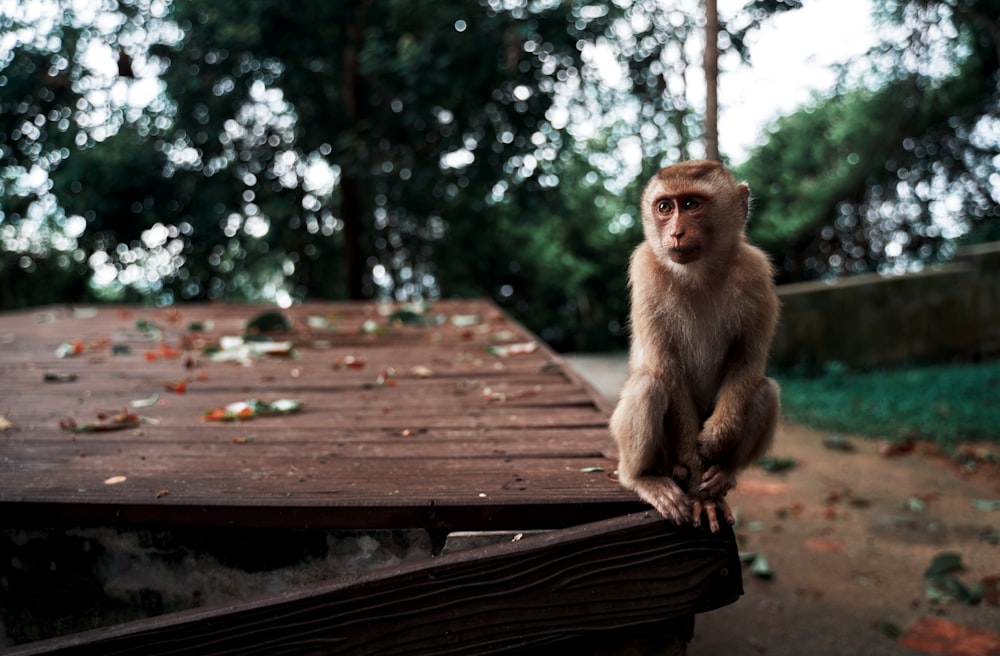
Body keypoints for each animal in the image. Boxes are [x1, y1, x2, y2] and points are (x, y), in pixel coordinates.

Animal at [608, 159, 780, 532]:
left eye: (690, 204)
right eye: (664, 207)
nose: (675, 233)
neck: (700, 272)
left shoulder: (757, 273)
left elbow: (748, 361)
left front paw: (716, 440)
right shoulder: (645, 270)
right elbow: (666, 368)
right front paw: (697, 481)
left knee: (764, 390)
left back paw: (725, 472)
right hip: (663, 457)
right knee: (649, 384)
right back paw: (644, 478)